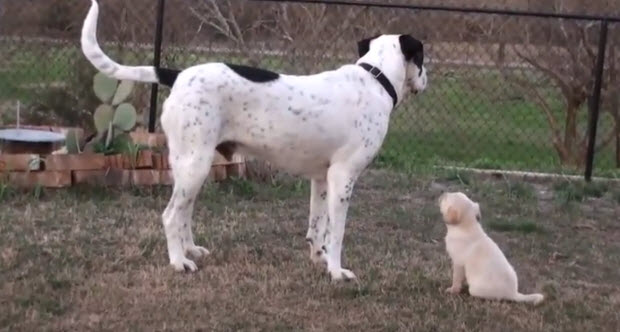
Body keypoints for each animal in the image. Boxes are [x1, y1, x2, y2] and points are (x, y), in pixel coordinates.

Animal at [81, 0, 426, 280]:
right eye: (423, 58)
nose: (427, 79)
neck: (375, 79)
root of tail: (178, 75)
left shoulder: (321, 179)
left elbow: (317, 227)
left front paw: (319, 258)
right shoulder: (343, 178)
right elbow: (337, 232)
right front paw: (337, 272)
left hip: (190, 167)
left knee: (183, 212)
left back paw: (191, 249)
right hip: (196, 165)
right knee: (170, 216)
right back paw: (179, 262)